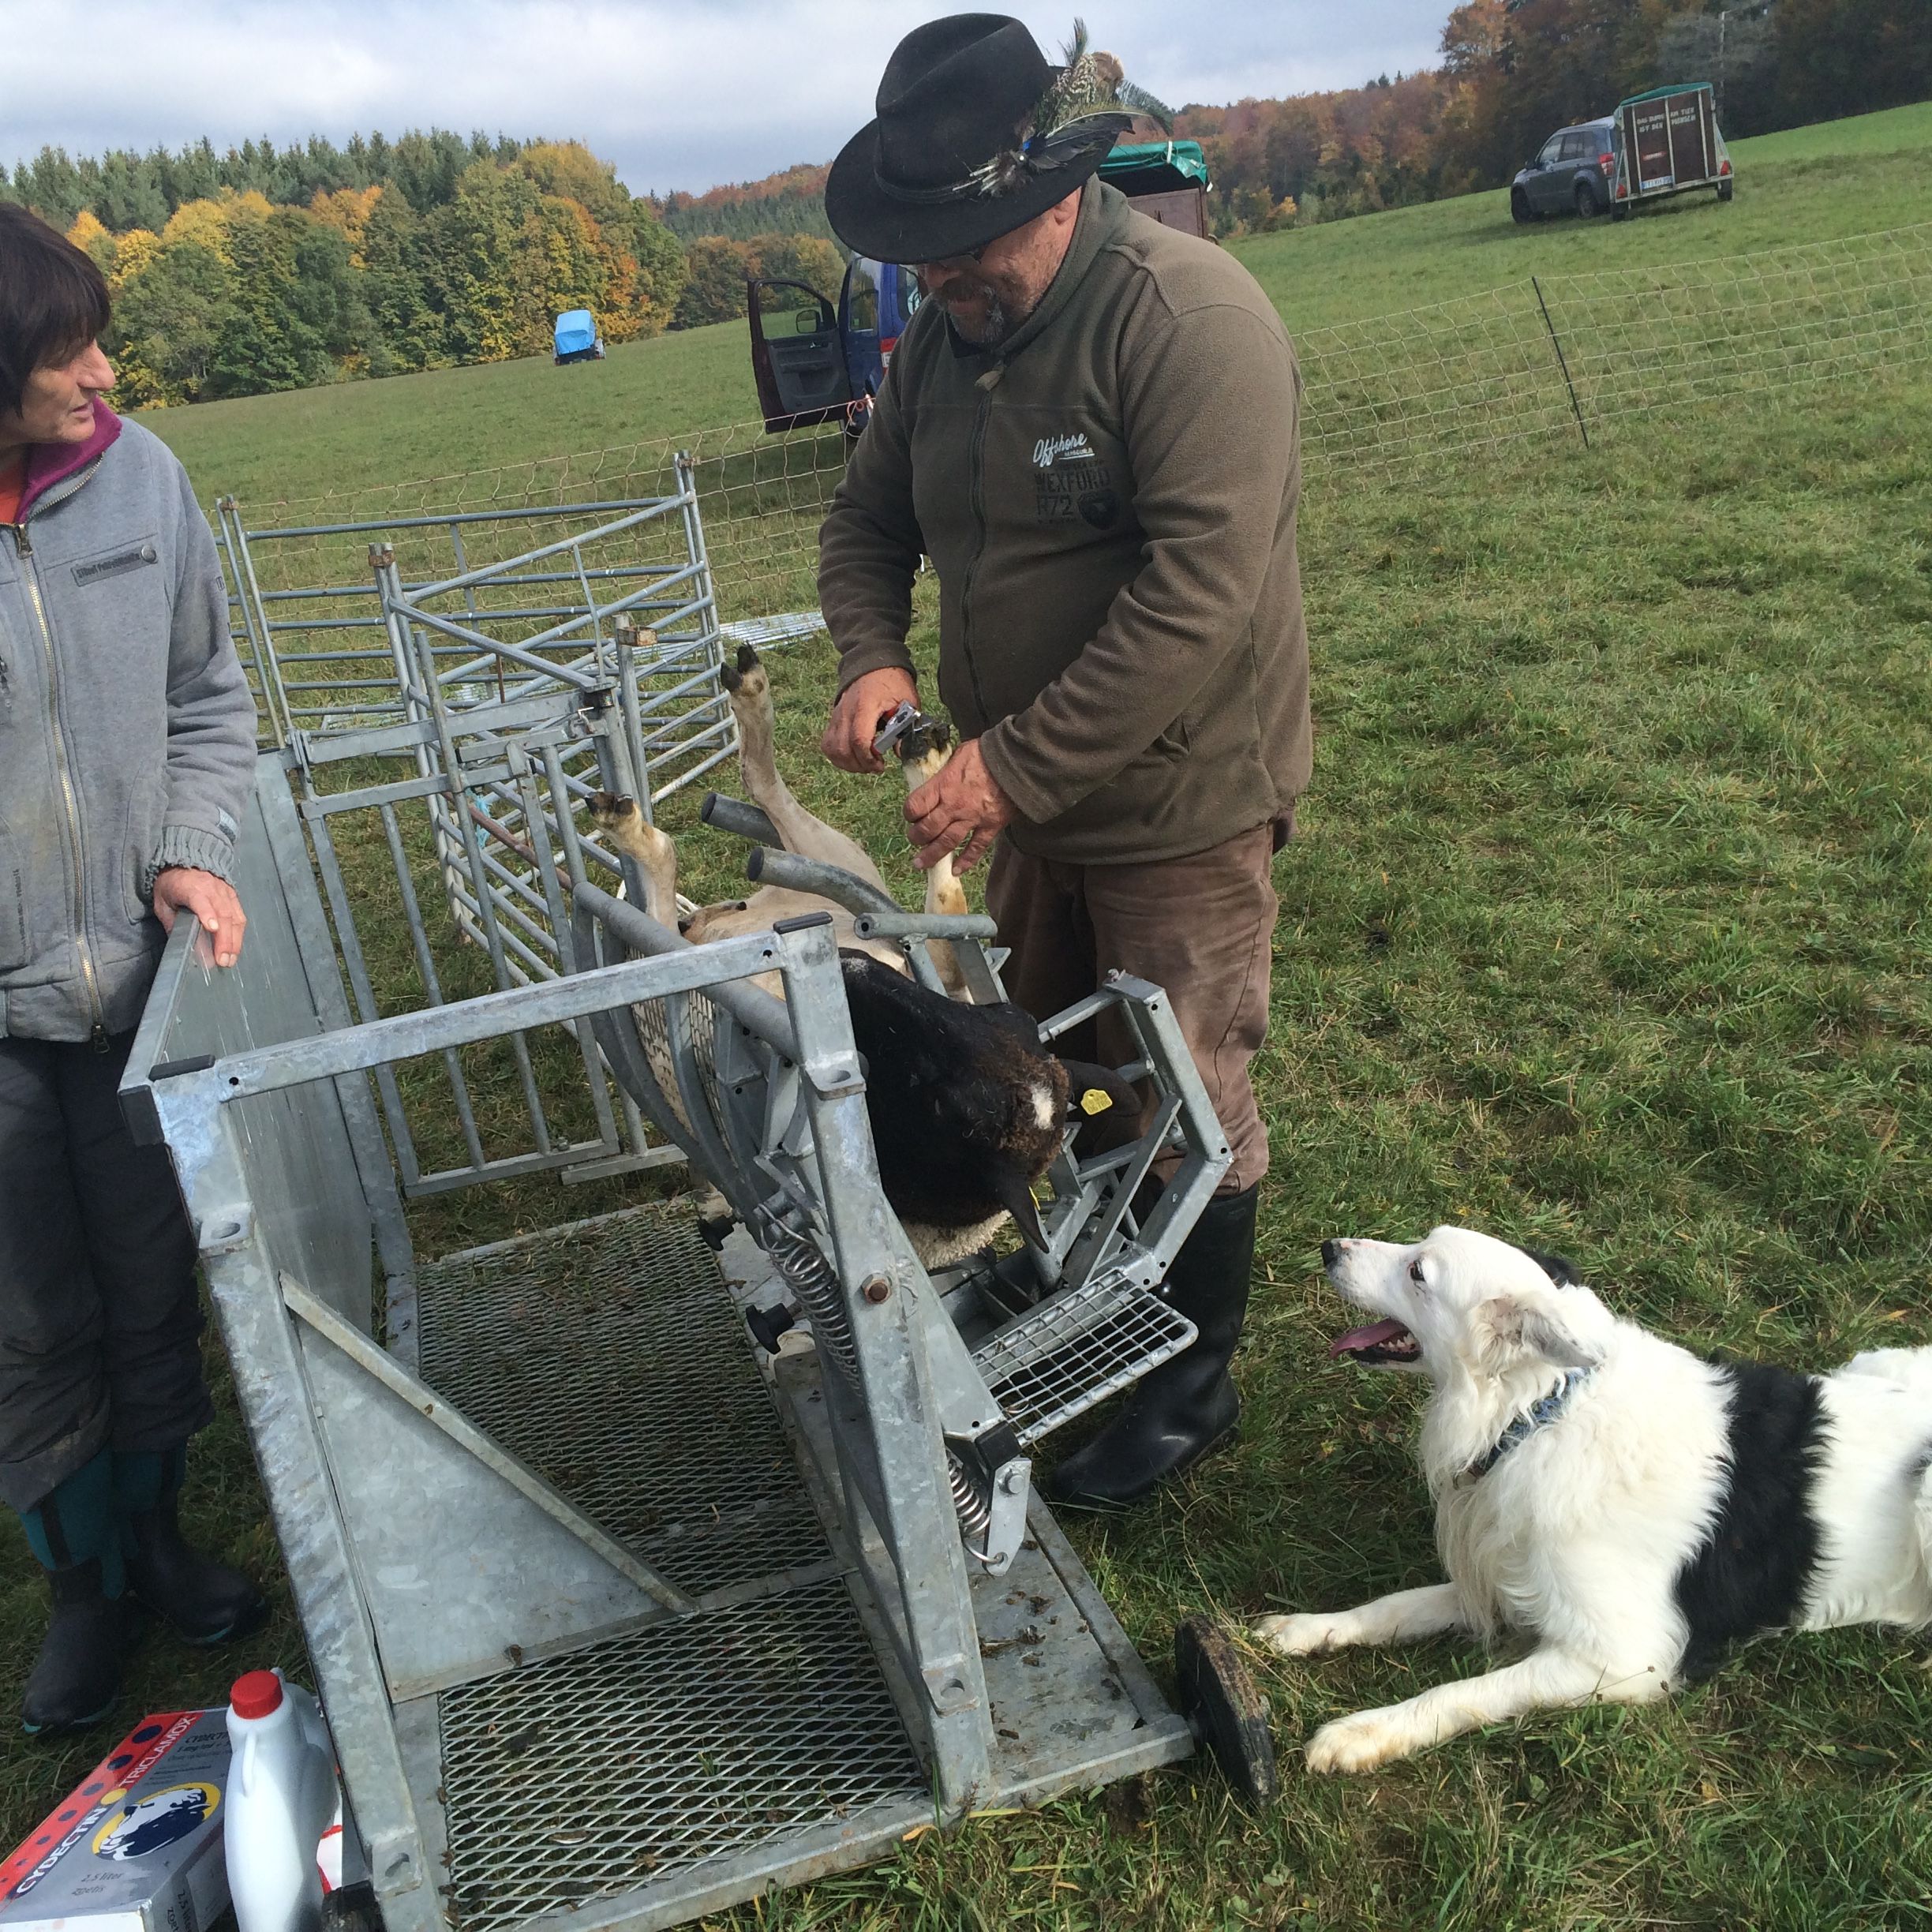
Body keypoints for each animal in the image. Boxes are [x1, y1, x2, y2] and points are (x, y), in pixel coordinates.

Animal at [1252, 1228, 1932, 1769]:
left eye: (1418, 1270)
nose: (1329, 1247)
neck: (1538, 1414)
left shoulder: (1627, 1656)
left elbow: (1464, 1693)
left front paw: (1363, 1732)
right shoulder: (1507, 1577)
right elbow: (1396, 1605)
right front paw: (1309, 1628)